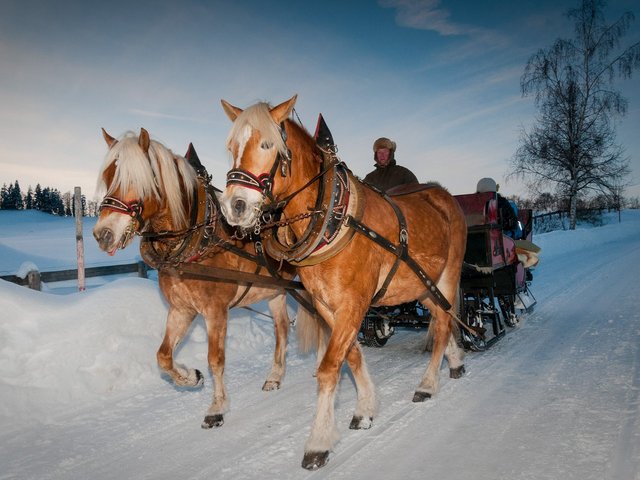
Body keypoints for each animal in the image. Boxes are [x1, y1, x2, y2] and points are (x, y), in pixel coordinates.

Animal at [94, 126, 306, 428]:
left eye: (137, 179)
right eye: (109, 177)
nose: (103, 234)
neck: (196, 237)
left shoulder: (216, 310)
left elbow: (215, 359)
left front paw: (216, 407)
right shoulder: (181, 309)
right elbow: (163, 356)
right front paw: (190, 377)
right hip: (275, 289)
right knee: (282, 329)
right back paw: (274, 376)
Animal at [218, 94, 468, 468]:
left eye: (267, 144)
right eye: (232, 147)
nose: (234, 206)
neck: (334, 219)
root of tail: (444, 194)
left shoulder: (353, 303)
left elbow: (329, 367)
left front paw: (318, 441)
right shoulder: (327, 304)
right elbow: (351, 356)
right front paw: (365, 408)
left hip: (448, 274)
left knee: (442, 322)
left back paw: (427, 383)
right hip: (422, 285)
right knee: (443, 317)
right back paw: (455, 362)